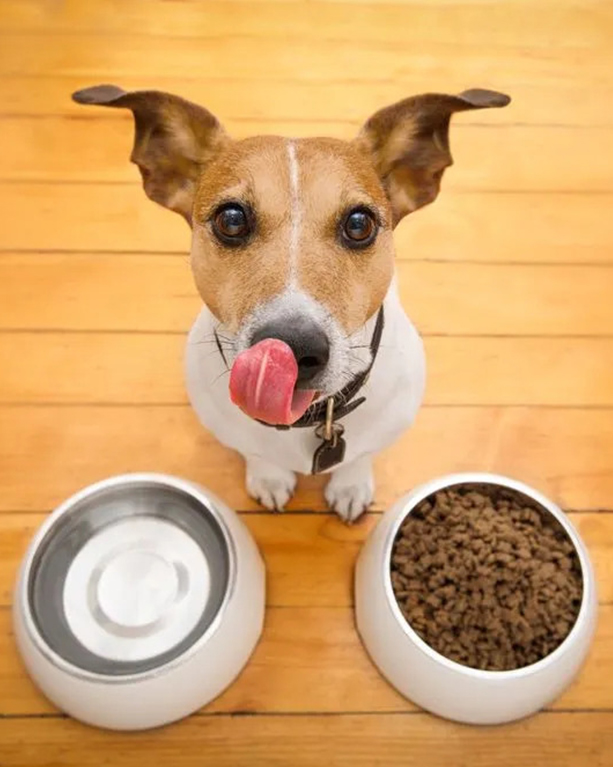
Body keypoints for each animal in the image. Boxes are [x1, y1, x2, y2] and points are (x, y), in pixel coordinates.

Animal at [73, 87, 506, 524]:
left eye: (359, 224)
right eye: (231, 219)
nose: (295, 348)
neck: (307, 418)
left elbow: (358, 458)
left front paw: (350, 486)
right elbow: (257, 454)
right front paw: (269, 479)